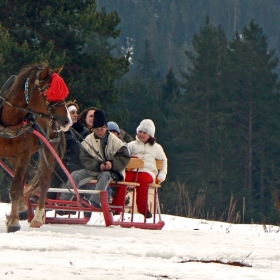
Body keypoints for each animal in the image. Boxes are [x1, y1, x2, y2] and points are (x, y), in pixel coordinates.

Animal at [0, 63, 72, 232]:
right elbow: (18, 184)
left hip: (48, 147)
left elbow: (16, 187)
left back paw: (38, 217)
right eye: (47, 90)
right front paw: (16, 214)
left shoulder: (24, 154)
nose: (67, 120)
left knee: (44, 181)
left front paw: (13, 222)